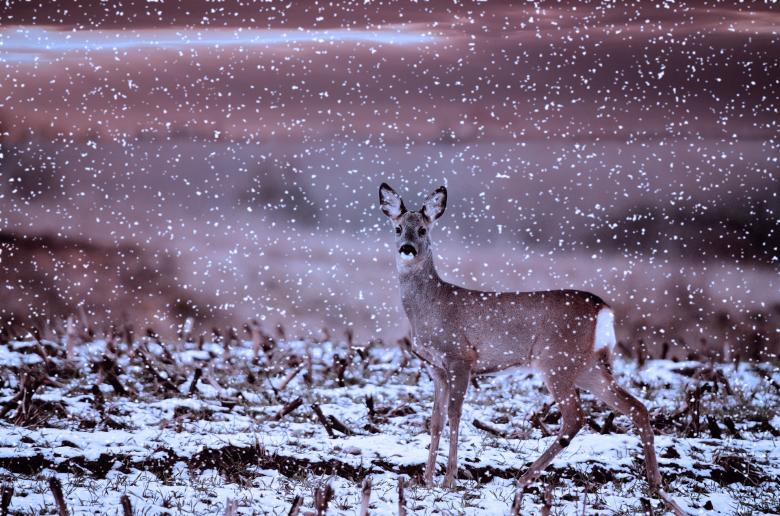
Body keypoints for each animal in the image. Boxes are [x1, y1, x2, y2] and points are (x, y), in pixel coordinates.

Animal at [378, 183, 685, 515]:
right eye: (398, 228)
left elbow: (454, 415)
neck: (432, 306)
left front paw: (449, 480)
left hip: (557, 361)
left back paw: (525, 478)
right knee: (636, 406)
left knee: (576, 416)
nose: (406, 248)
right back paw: (655, 485)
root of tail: (603, 308)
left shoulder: (460, 357)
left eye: (423, 229)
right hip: (587, 366)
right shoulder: (434, 365)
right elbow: (435, 420)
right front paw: (425, 478)